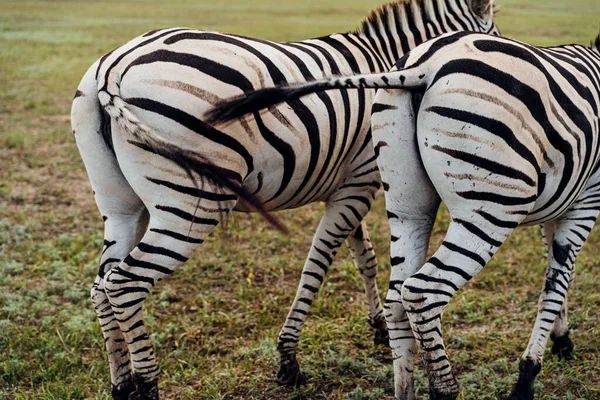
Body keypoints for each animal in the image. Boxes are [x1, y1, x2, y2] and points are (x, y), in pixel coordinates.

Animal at [71, 1, 496, 398]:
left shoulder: (348, 184)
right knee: (124, 284)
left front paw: (377, 326)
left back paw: (121, 383)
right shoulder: (359, 182)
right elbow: (317, 265)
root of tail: (114, 65)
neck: (387, 63)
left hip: (120, 206)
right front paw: (289, 358)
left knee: (101, 285)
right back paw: (146, 385)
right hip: (190, 204)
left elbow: (365, 258)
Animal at [205, 31, 600, 400]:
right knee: (424, 291)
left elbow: (555, 270)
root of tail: (423, 66)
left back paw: (404, 387)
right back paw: (445, 388)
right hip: (491, 206)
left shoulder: (561, 204)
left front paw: (560, 338)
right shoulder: (587, 201)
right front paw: (528, 375)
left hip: (407, 203)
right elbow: (556, 282)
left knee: (397, 298)